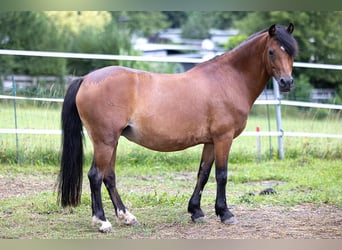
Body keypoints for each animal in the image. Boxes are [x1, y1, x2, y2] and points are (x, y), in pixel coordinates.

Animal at [57, 23, 298, 232]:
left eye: (291, 53)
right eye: (271, 52)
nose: (286, 83)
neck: (229, 79)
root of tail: (86, 78)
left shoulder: (210, 141)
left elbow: (203, 173)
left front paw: (196, 211)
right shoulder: (224, 138)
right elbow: (221, 175)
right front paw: (225, 213)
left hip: (112, 142)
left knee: (109, 177)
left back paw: (127, 216)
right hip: (105, 141)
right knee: (95, 176)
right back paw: (102, 221)